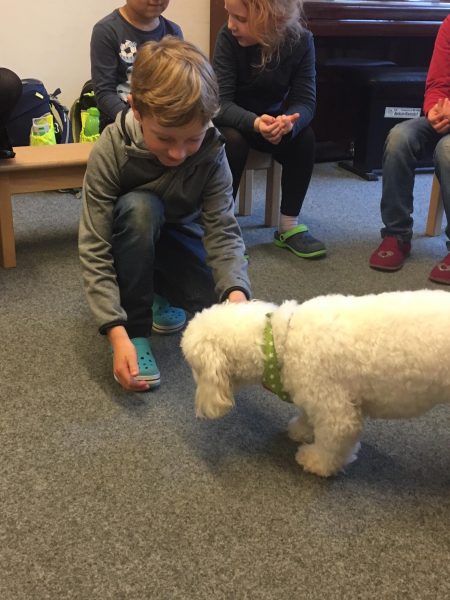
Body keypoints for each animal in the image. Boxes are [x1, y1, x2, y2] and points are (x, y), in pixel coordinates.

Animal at [181, 289, 450, 477]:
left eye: (193, 367)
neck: (279, 341)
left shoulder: (337, 413)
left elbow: (332, 443)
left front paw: (316, 462)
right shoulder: (314, 394)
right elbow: (308, 416)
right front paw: (302, 429)